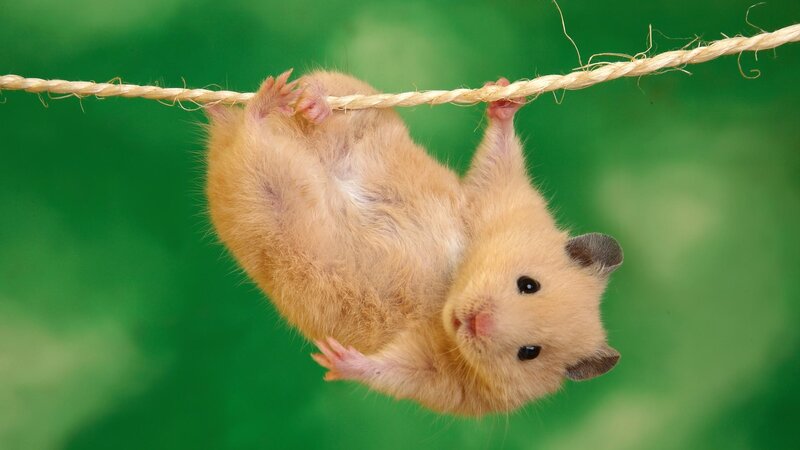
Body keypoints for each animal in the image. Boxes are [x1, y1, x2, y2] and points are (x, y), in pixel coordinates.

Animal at [205, 70, 623, 416]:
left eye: (529, 353)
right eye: (528, 284)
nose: (475, 322)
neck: (450, 288)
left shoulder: (443, 380)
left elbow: (392, 371)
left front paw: (334, 358)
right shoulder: (498, 199)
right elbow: (498, 158)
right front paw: (504, 95)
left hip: (261, 195)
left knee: (251, 139)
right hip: (360, 109)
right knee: (324, 96)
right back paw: (300, 101)